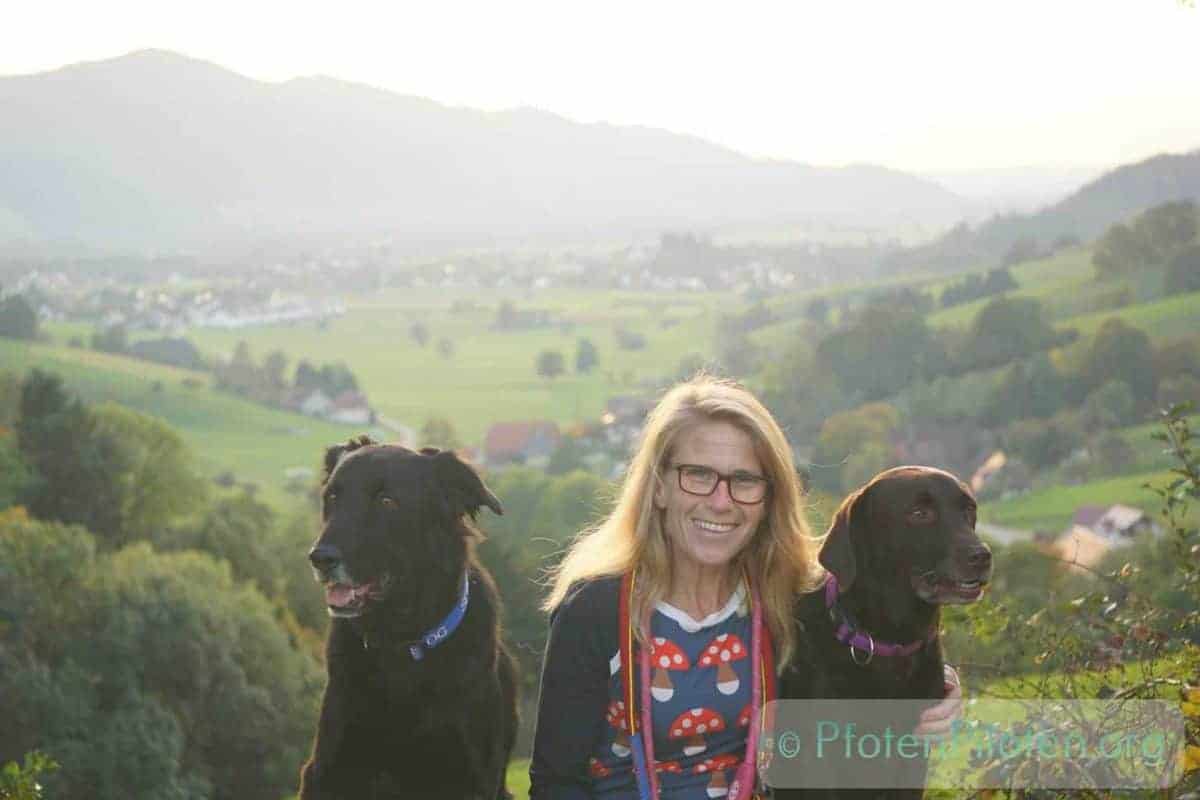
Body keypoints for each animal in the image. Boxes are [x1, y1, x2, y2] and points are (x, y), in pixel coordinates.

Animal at [300, 438, 516, 800]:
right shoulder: (329, 772)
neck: (400, 643)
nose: (320, 558)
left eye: (386, 501)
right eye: (332, 497)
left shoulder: (468, 777)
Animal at [777, 465, 993, 796]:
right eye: (919, 513)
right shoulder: (819, 756)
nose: (982, 555)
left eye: (969, 510)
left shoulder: (913, 754)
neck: (891, 640)